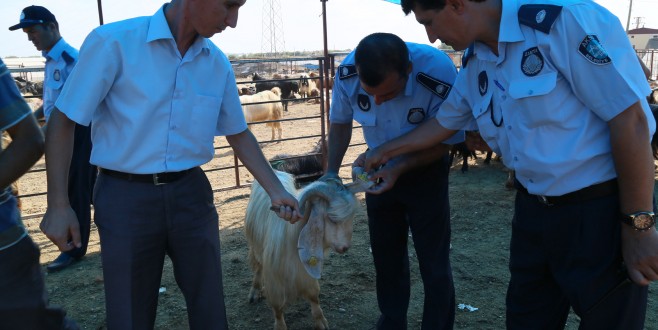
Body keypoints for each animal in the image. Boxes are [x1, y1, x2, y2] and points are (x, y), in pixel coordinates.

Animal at [245, 171, 366, 328]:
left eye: (352, 217)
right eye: (332, 217)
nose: (344, 248)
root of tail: (276, 171)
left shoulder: (306, 268)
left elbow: (314, 294)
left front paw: (321, 321)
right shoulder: (274, 277)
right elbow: (277, 306)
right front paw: (280, 326)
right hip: (256, 245)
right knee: (258, 266)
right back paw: (254, 291)